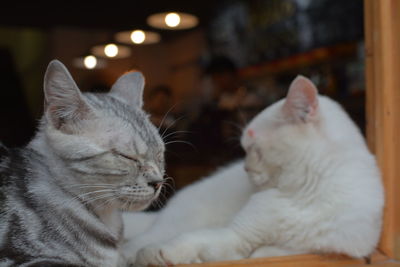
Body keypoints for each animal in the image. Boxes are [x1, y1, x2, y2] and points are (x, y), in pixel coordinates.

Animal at [122, 75, 384, 266]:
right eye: (245, 150)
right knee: (143, 240)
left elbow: (273, 252)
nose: (245, 168)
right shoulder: (237, 235)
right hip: (180, 221)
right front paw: (158, 254)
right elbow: (189, 240)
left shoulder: (326, 249)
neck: (303, 193)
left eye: (254, 150)